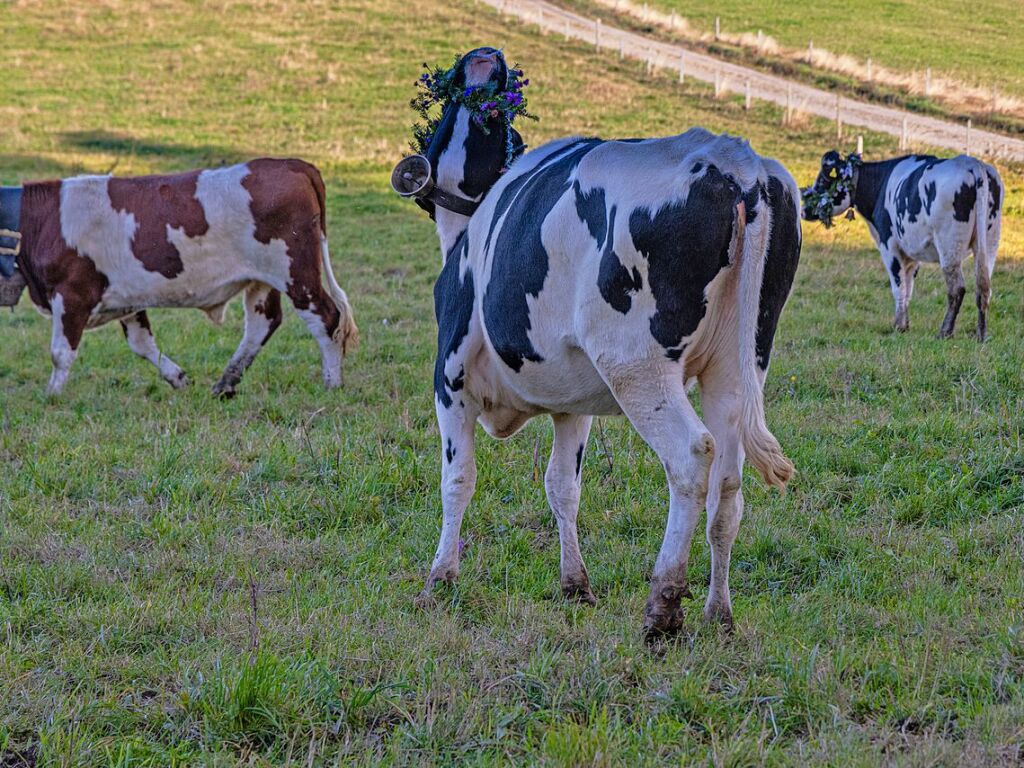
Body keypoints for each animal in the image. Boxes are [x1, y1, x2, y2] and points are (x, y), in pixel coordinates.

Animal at [0, 156, 360, 397]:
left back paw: (333, 383)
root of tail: (293, 164)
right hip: (262, 279)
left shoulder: (72, 293)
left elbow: (60, 353)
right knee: (263, 323)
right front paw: (179, 379)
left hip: (297, 273)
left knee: (326, 317)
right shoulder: (126, 299)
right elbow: (142, 344)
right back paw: (225, 383)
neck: (36, 221)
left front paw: (51, 396)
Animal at [798, 150, 999, 339]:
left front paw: (899, 326)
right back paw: (981, 335)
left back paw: (945, 332)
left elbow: (898, 285)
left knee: (957, 288)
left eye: (823, 182)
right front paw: (904, 324)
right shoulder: (910, 252)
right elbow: (908, 287)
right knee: (984, 287)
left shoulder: (889, 244)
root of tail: (971, 163)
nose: (804, 210)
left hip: (949, 246)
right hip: (989, 243)